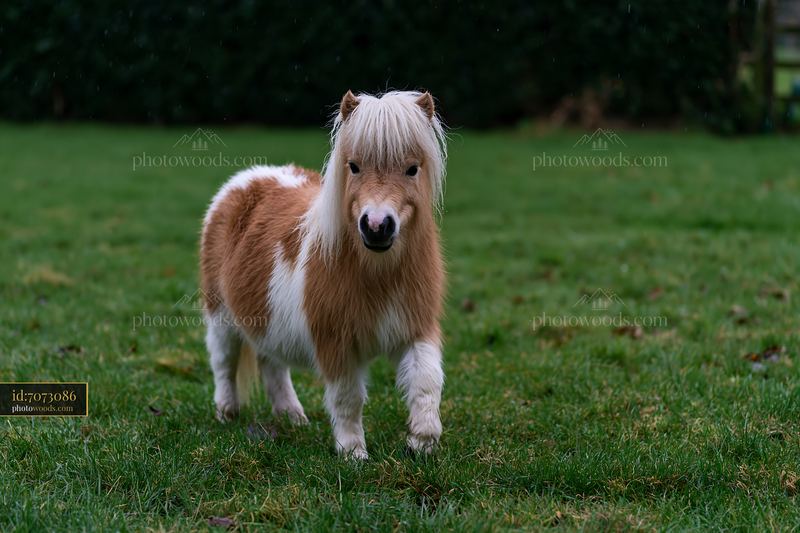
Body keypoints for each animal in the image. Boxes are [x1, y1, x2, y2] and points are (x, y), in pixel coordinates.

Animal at [200, 90, 447, 459]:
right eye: (353, 166)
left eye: (413, 168)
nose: (377, 227)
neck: (377, 273)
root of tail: (246, 180)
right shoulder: (335, 342)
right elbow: (347, 398)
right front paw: (353, 453)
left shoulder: (416, 328)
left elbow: (426, 381)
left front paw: (422, 441)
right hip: (222, 317)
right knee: (223, 363)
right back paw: (227, 413)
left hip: (265, 319)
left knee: (272, 364)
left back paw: (292, 417)